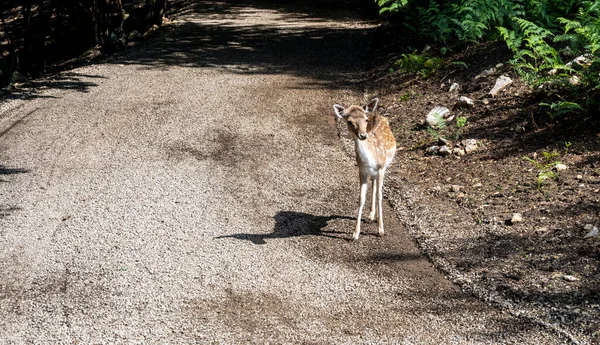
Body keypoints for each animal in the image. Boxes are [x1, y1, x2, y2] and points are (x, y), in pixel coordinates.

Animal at [330, 97, 396, 239]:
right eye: (349, 121)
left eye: (365, 120)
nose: (363, 135)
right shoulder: (361, 170)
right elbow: (361, 198)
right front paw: (355, 234)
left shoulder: (381, 168)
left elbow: (380, 196)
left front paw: (381, 230)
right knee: (374, 183)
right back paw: (371, 214)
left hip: (385, 166)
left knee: (376, 185)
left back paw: (374, 216)